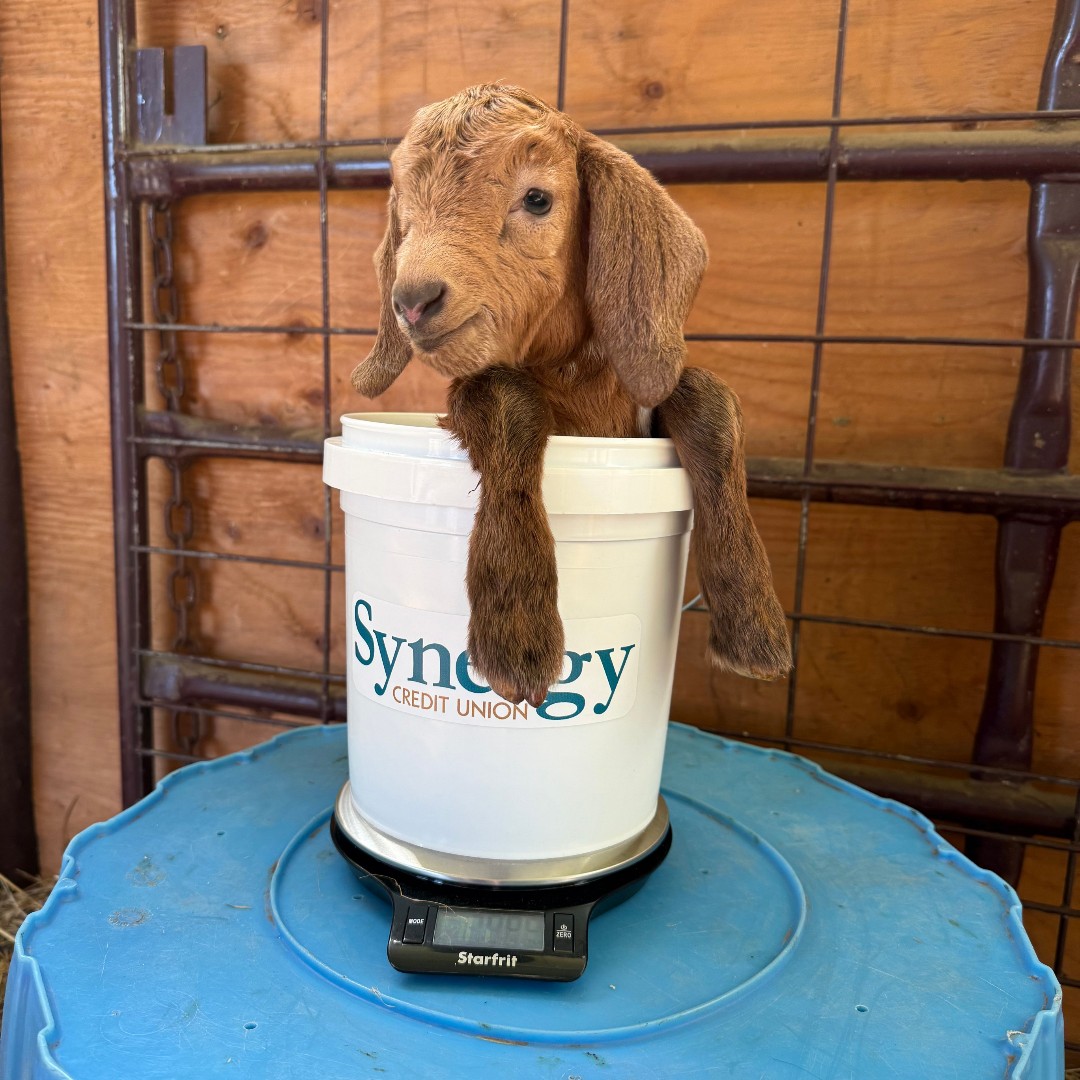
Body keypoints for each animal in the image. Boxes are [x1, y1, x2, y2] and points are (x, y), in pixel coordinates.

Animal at [352, 84, 792, 707]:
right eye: (404, 214)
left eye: (537, 198)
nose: (413, 300)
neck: (577, 394)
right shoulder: (478, 385)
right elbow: (507, 399)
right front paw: (518, 634)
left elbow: (705, 396)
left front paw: (755, 630)